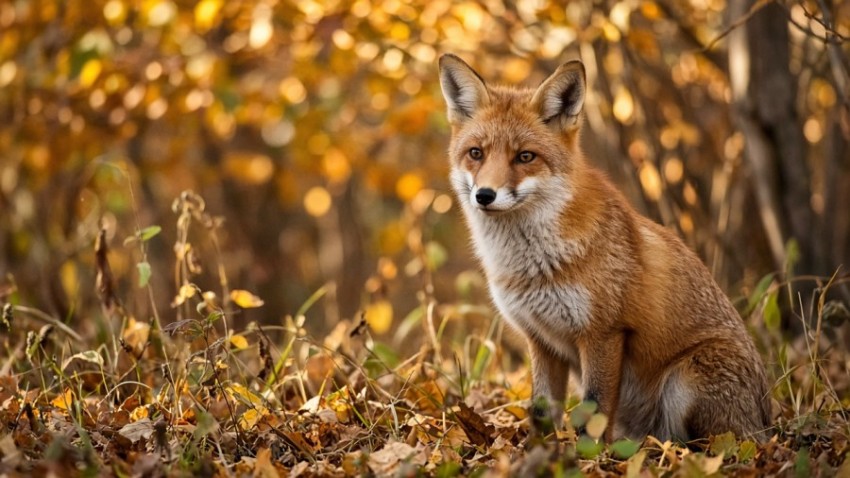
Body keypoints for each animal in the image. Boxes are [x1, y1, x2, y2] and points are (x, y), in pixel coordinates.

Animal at [438, 53, 772, 443]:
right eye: (476, 153)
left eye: (525, 157)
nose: (485, 195)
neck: (533, 267)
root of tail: (768, 421)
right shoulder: (541, 340)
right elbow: (541, 413)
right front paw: (539, 452)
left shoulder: (604, 333)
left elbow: (592, 413)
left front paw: (588, 455)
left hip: (686, 381)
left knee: (716, 443)